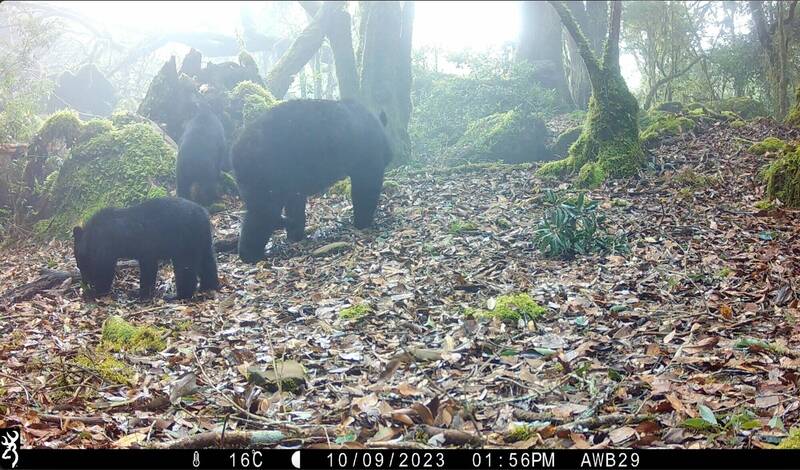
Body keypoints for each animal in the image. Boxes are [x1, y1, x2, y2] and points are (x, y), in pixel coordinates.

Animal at [73, 196, 219, 300]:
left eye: (82, 263)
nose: (85, 282)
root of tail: (203, 213)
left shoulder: (106, 247)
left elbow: (105, 269)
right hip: (202, 240)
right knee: (208, 261)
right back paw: (209, 285)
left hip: (185, 242)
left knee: (185, 267)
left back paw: (178, 295)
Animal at [231, 98, 394, 262]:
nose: (389, 157)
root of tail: (236, 152)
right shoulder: (366, 154)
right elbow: (366, 187)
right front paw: (363, 222)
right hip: (266, 173)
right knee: (263, 213)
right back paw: (251, 254)